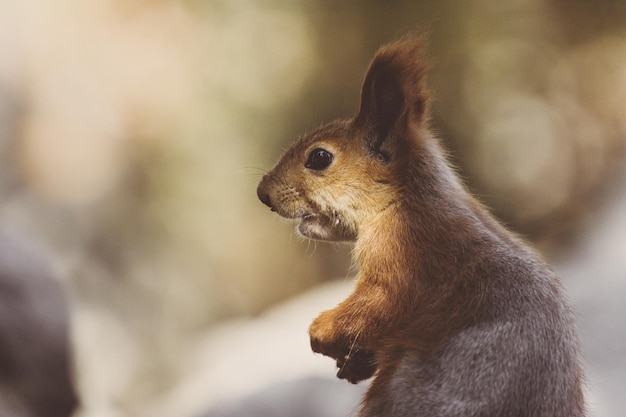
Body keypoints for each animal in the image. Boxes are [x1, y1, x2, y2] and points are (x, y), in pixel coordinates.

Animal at [255, 36, 584, 416]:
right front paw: (353, 360)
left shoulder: (403, 261)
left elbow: (374, 305)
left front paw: (321, 331)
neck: (406, 203)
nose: (263, 192)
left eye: (319, 157)